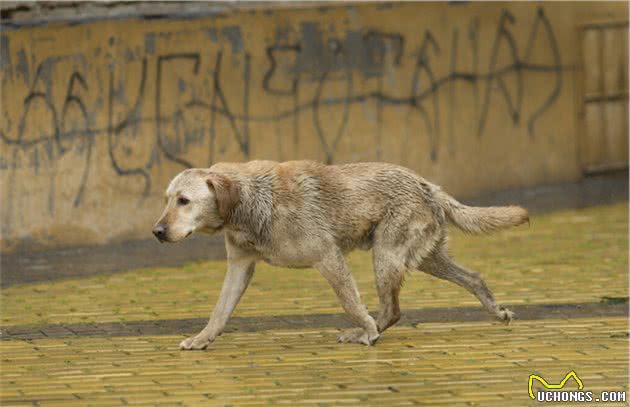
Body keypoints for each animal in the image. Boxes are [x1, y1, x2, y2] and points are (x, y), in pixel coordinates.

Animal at [153, 161, 528, 352]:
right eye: (167, 199)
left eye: (184, 201)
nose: (157, 231)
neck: (251, 201)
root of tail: (429, 185)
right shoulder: (239, 267)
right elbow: (219, 312)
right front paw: (202, 339)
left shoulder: (328, 257)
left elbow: (350, 301)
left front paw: (366, 329)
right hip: (424, 258)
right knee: (473, 278)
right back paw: (496, 311)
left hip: (387, 256)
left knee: (392, 309)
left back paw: (366, 332)